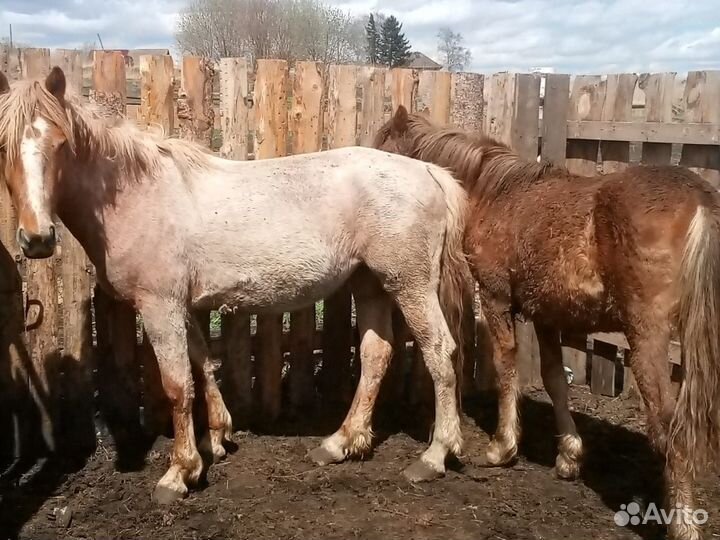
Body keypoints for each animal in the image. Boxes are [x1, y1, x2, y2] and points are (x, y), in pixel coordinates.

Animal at [0, 68, 474, 504]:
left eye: (60, 142)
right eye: (4, 146)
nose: (37, 239)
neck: (136, 193)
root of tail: (430, 171)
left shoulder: (159, 306)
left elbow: (177, 385)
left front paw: (179, 473)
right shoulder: (182, 306)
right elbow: (202, 365)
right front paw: (216, 439)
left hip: (409, 284)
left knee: (439, 352)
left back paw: (435, 455)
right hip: (370, 283)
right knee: (378, 354)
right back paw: (341, 443)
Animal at [374, 105, 720, 540]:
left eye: (383, 150)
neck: (497, 192)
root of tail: (699, 198)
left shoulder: (496, 298)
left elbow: (507, 366)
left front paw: (502, 447)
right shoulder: (546, 315)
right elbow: (555, 379)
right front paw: (568, 457)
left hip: (647, 339)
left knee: (670, 426)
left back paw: (683, 524)